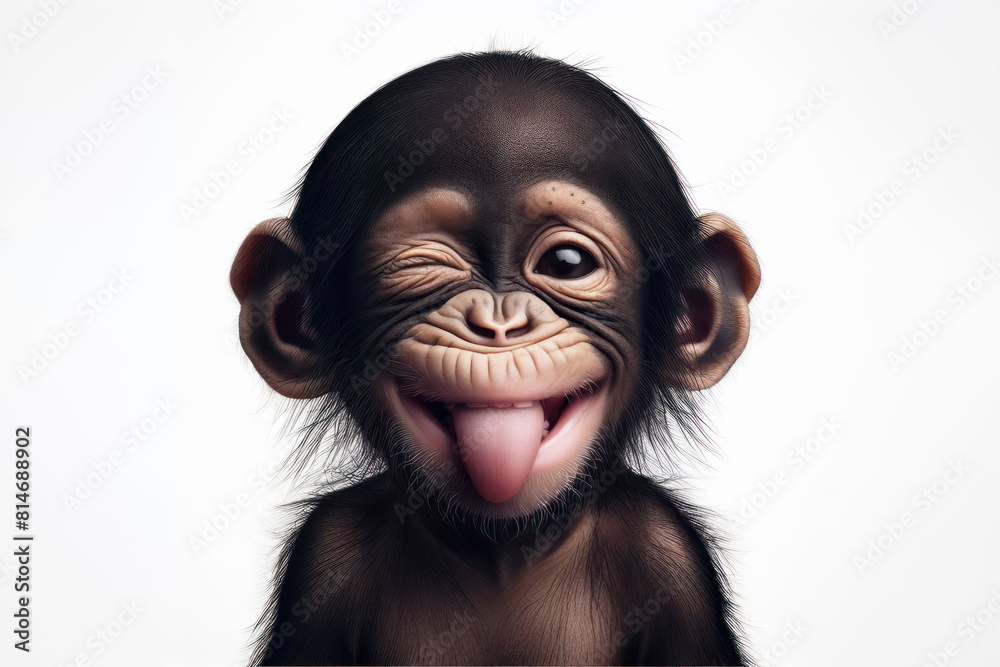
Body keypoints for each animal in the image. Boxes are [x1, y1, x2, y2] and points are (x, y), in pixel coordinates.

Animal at [230, 50, 760, 665]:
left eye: (568, 262)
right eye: (424, 265)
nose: (499, 322)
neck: (501, 554)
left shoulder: (671, 557)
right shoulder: (324, 553)